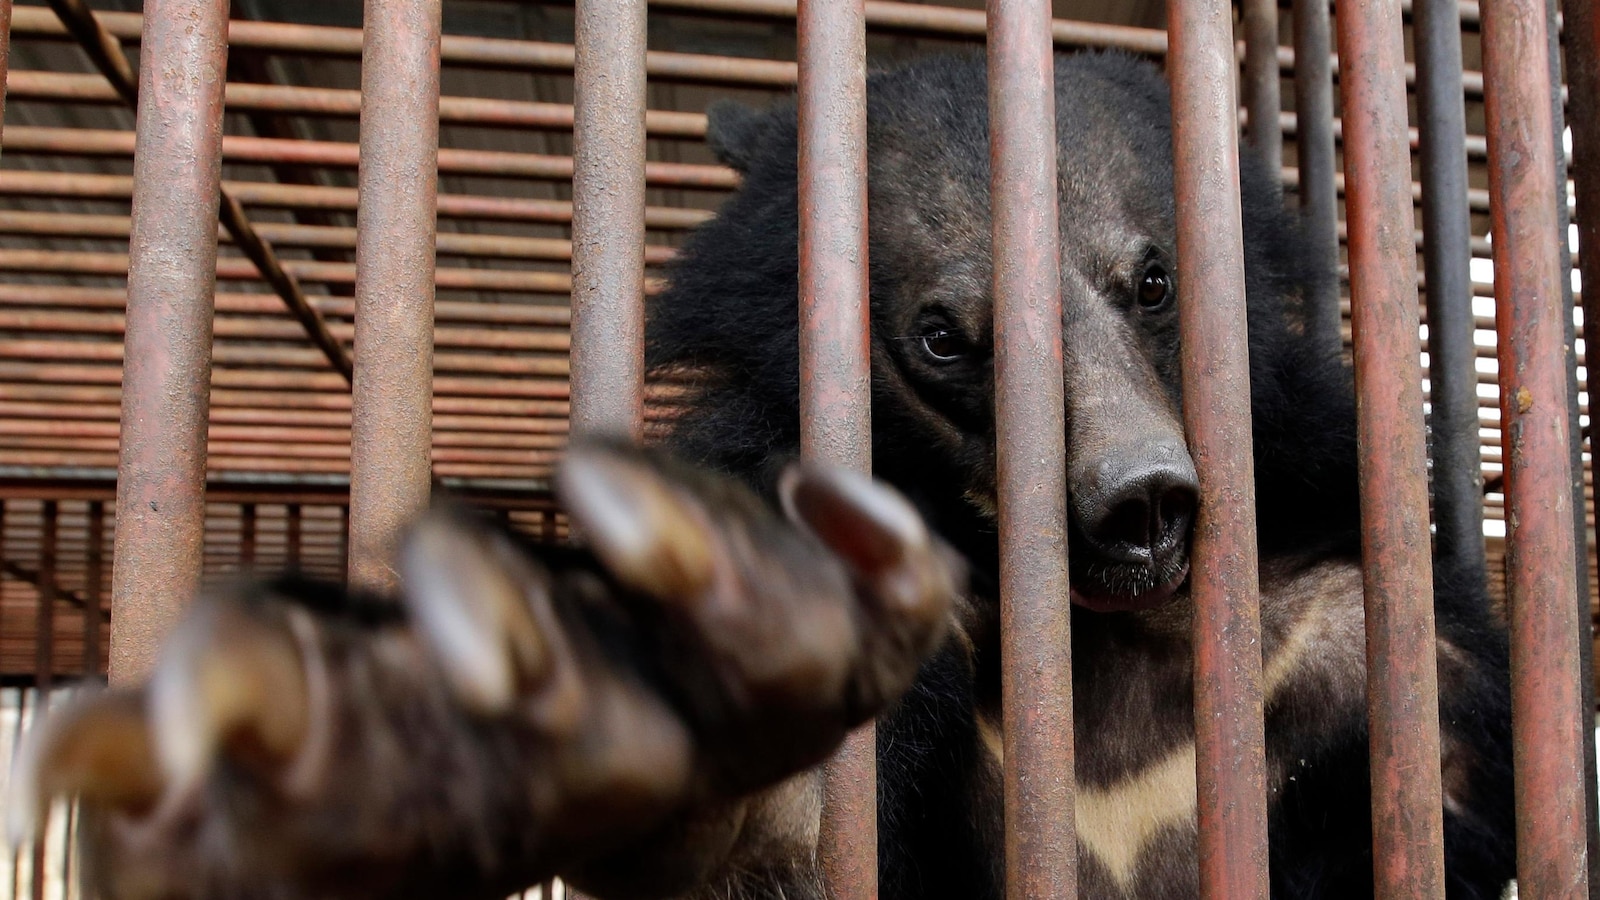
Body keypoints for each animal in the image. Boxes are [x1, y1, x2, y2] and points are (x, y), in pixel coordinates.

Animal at [7, 50, 1515, 900]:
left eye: (1152, 280)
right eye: (942, 337)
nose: (1137, 502)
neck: (1092, 640)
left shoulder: (1350, 619)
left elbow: (1441, 800)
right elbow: (767, 845)